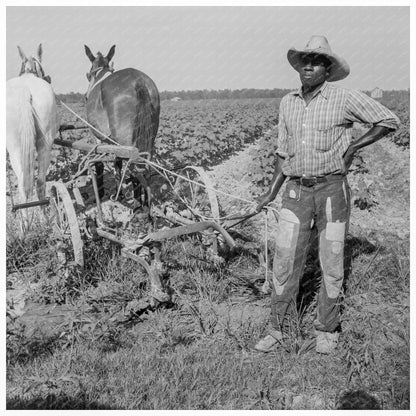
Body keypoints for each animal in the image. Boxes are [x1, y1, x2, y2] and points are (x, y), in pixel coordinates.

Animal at [6, 44, 57, 231]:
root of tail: (26, 91)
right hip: (46, 142)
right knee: (40, 182)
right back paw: (45, 221)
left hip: (14, 147)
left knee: (22, 184)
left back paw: (24, 227)